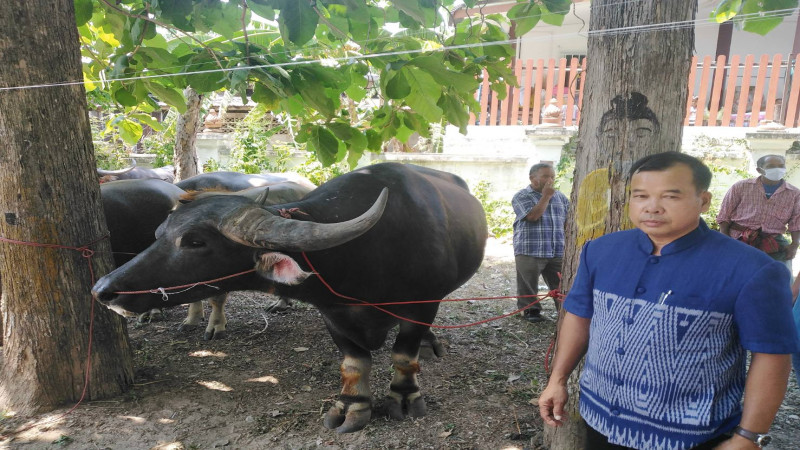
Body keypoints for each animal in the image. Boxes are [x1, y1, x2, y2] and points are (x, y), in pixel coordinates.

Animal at [92, 162, 488, 432]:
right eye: (159, 233)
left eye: (195, 241)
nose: (103, 290)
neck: (365, 254)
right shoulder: (332, 312)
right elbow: (354, 363)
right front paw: (352, 407)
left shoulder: (422, 304)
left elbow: (403, 354)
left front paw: (403, 398)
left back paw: (430, 343)